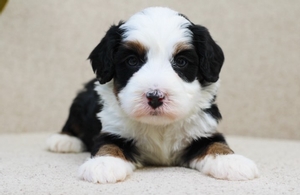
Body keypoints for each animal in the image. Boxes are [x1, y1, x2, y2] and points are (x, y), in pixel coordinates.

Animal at [45, 6, 258, 184]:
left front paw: (231, 161)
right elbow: (109, 144)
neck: (160, 126)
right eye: (132, 61)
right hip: (81, 100)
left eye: (181, 62)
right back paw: (64, 140)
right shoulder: (114, 129)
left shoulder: (202, 129)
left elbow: (215, 144)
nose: (155, 97)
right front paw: (104, 164)